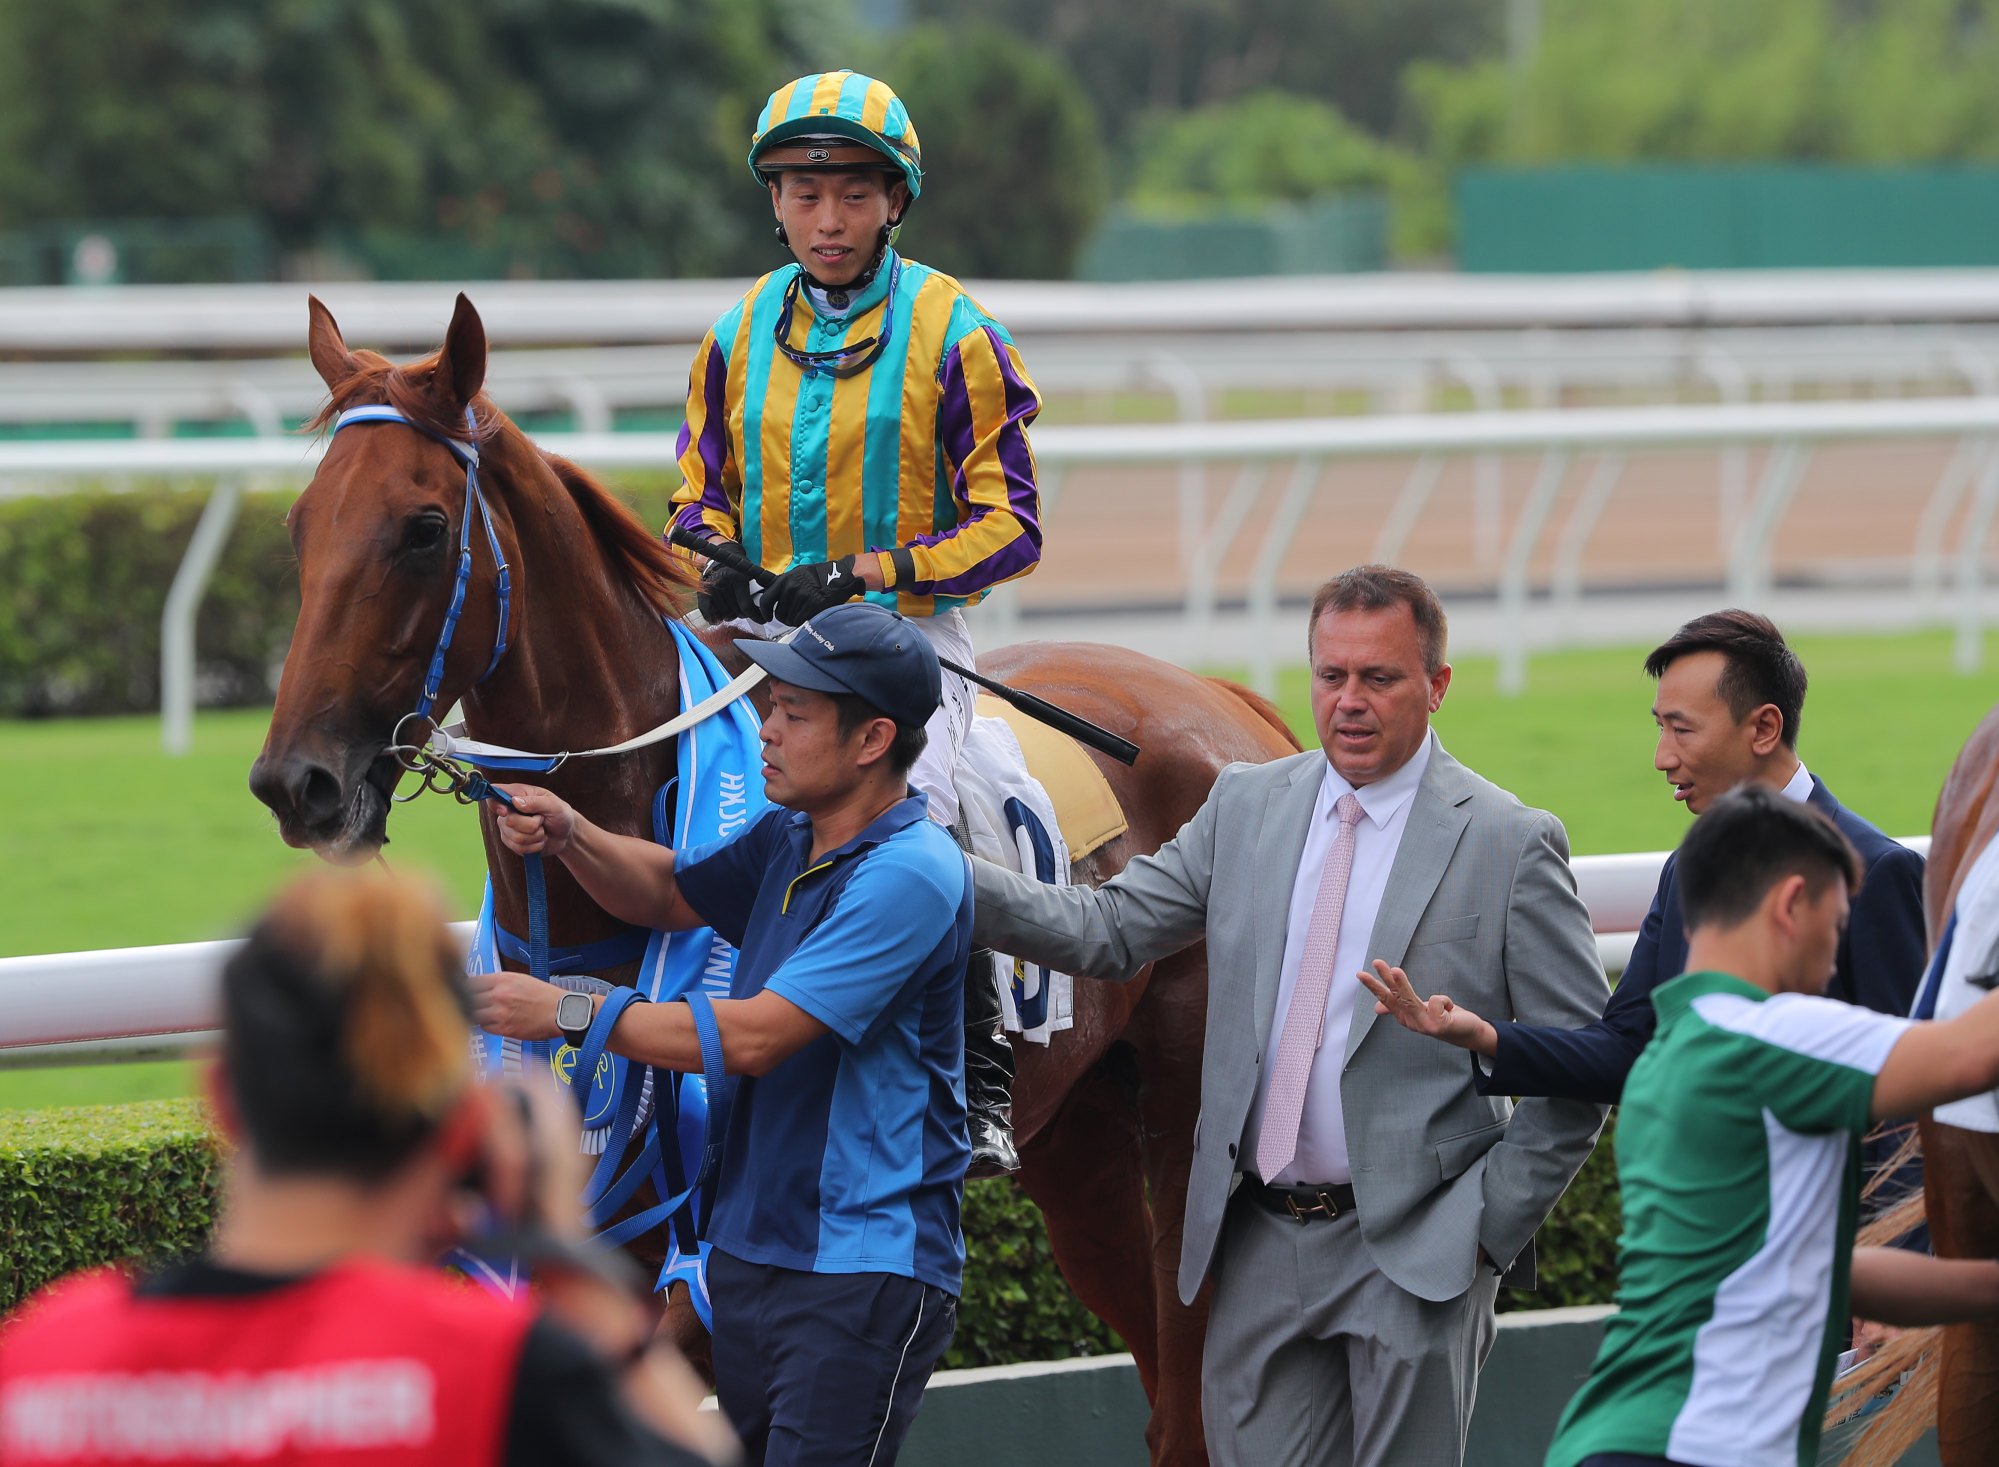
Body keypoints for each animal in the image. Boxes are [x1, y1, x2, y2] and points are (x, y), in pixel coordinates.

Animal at [249, 293, 1295, 1463]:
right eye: (300, 527)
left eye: (424, 529)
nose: (297, 782)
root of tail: (1226, 704)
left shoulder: (707, 1272)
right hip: (1080, 1142)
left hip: (1183, 1119)